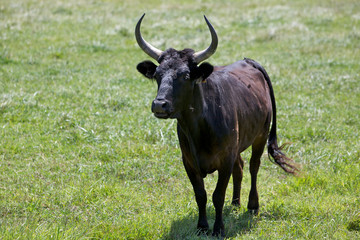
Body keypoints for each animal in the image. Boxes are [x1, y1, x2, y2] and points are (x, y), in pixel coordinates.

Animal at [135, 14, 298, 237]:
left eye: (186, 75)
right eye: (157, 75)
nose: (159, 104)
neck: (199, 129)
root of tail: (248, 61)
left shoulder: (225, 159)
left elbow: (217, 195)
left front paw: (218, 228)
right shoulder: (188, 161)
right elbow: (201, 194)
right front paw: (202, 226)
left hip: (261, 135)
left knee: (253, 167)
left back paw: (252, 205)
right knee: (240, 167)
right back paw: (236, 202)